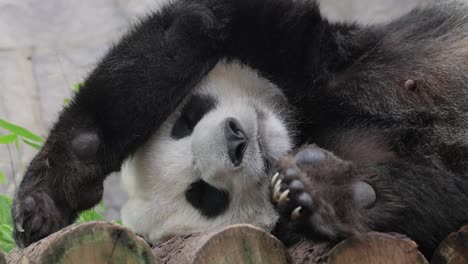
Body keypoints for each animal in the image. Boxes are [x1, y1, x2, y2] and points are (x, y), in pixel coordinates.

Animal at [10, 0, 468, 258]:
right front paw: (322, 193)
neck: (303, 121)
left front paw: (43, 200)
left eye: (186, 121)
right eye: (204, 195)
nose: (237, 140)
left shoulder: (297, 54)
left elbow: (200, 21)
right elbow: (433, 194)